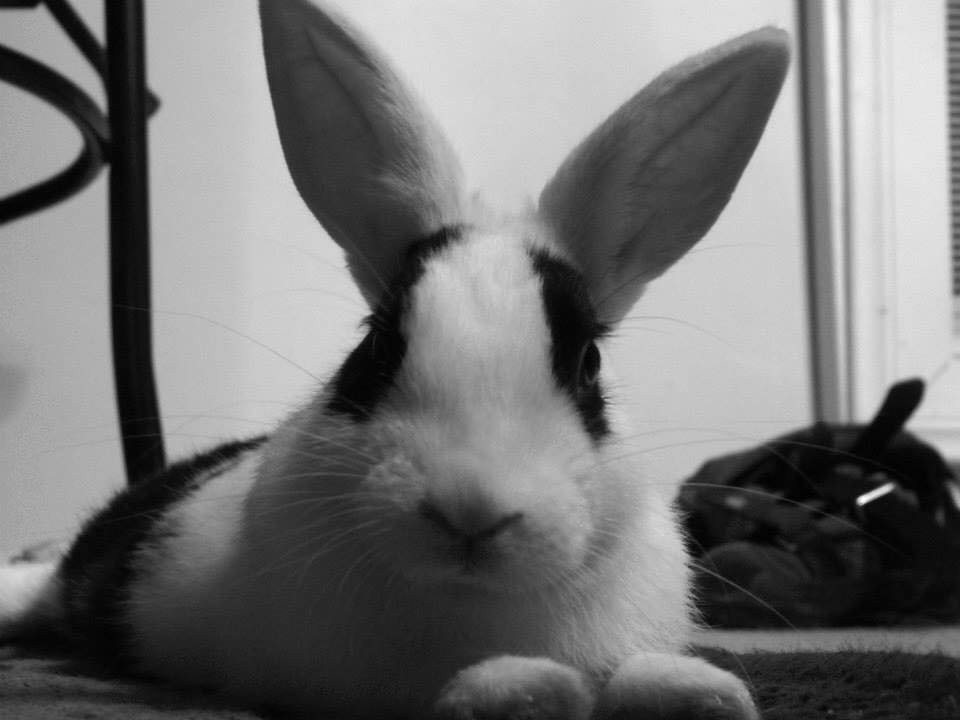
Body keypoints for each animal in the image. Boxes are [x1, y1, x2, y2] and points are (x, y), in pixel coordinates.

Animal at [0, 1, 792, 720]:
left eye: (589, 364)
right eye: (377, 345)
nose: (472, 510)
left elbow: (641, 673)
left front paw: (700, 693)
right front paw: (523, 690)